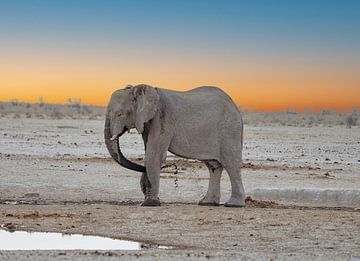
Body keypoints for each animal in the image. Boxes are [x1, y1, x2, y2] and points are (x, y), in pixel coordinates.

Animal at [104, 84, 245, 206]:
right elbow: (148, 153)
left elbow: (153, 155)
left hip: (230, 130)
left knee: (231, 164)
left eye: (120, 114)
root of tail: (234, 105)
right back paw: (207, 203)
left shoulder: (161, 120)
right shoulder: (148, 122)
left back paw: (233, 204)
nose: (174, 166)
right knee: (213, 166)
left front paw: (150, 204)